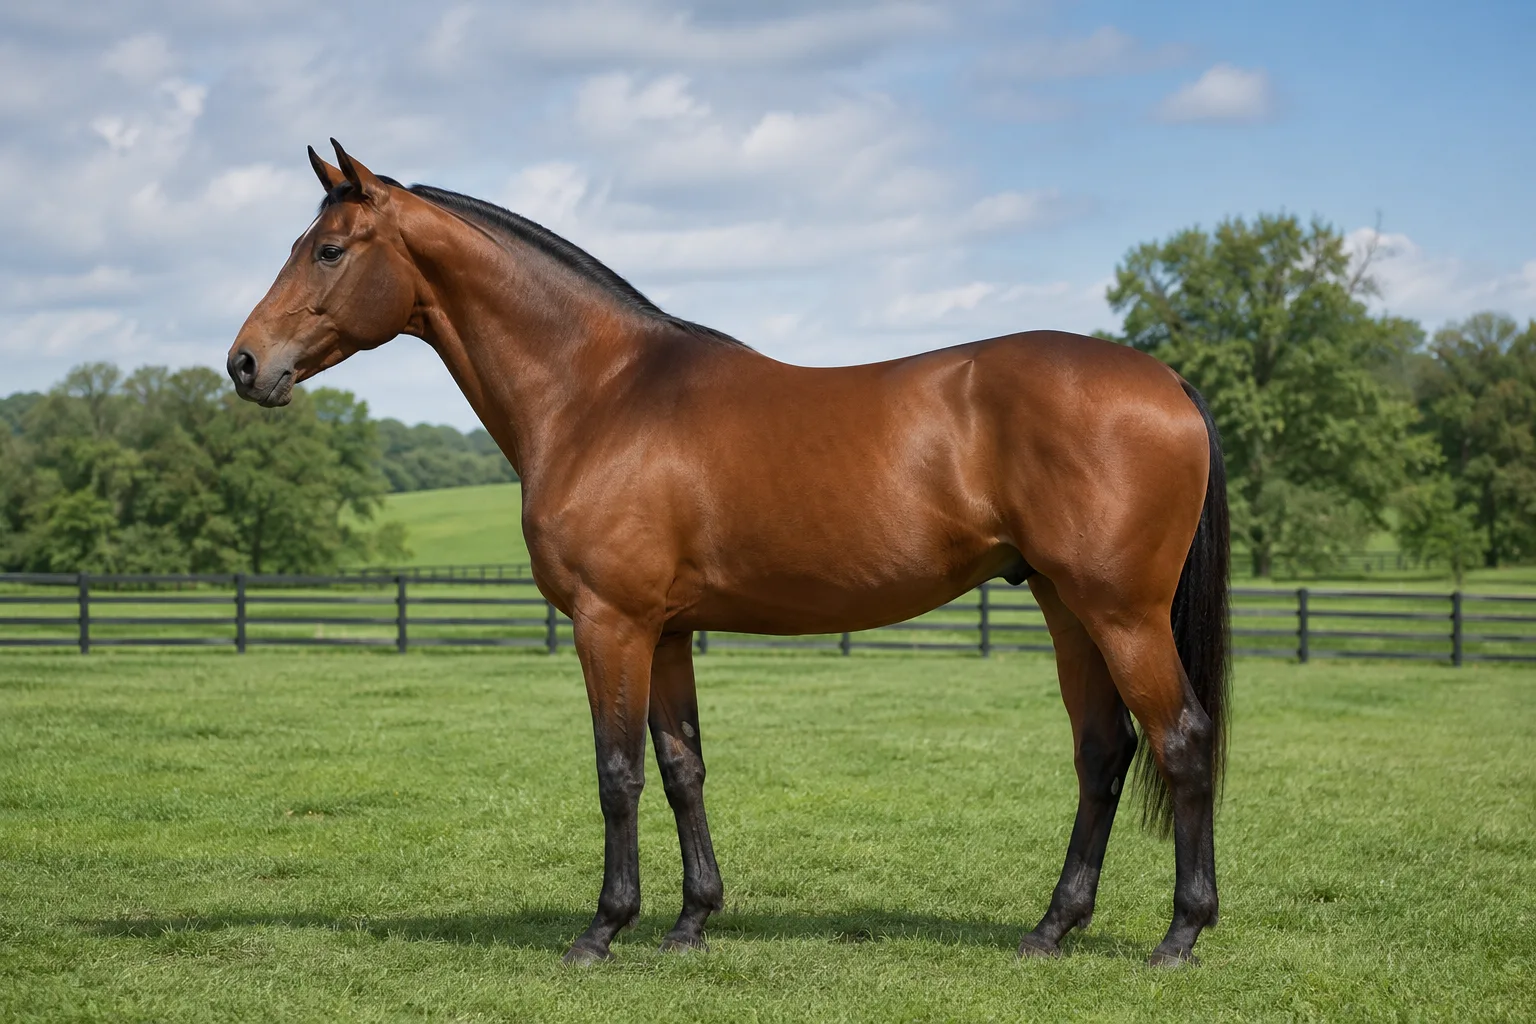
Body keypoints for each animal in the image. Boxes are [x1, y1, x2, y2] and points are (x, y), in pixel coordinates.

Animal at [228, 141, 1231, 967]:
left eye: (328, 250)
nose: (244, 364)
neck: (599, 393)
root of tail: (1169, 382)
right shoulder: (667, 632)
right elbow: (683, 769)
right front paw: (691, 921)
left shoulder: (611, 624)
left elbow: (617, 772)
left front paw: (603, 929)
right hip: (1066, 607)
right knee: (1102, 752)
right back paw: (1052, 928)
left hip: (1121, 613)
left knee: (1181, 740)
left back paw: (1180, 935)